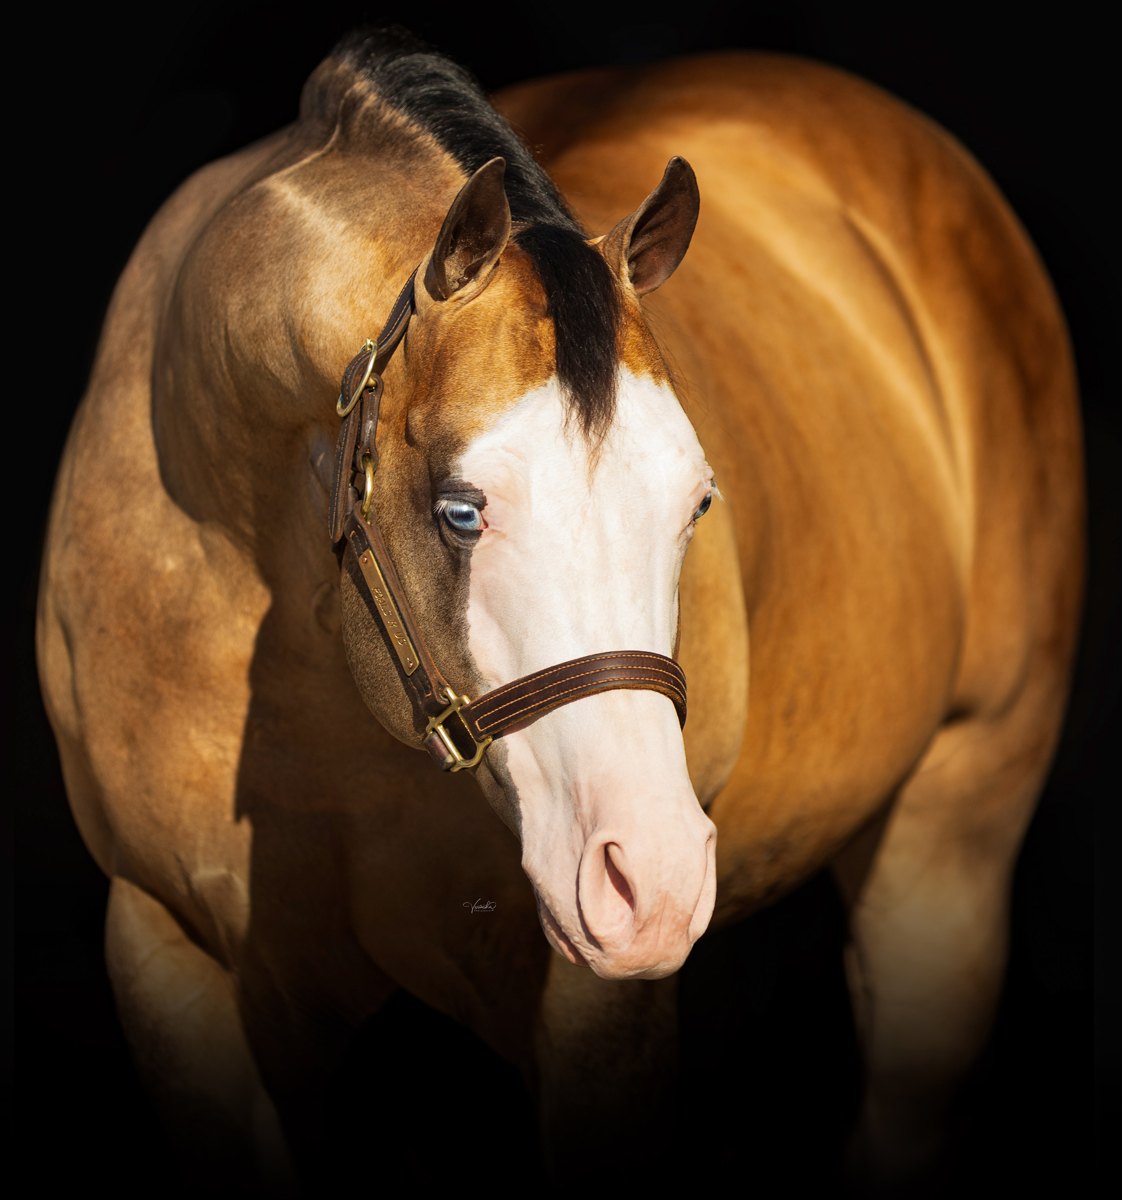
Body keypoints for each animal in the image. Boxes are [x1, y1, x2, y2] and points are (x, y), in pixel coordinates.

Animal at [36, 26, 1083, 1194]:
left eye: (697, 502)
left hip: (951, 844)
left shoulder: (595, 1012)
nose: (655, 883)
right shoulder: (169, 949)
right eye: (460, 509)